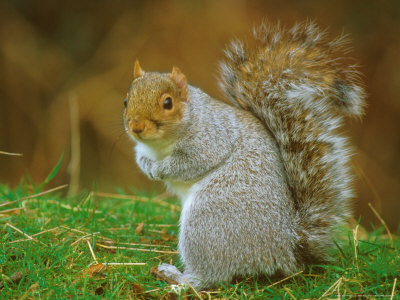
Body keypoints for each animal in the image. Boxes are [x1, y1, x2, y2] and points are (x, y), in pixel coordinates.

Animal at [122, 21, 366, 290]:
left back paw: (178, 279)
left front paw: (161, 169)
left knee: (208, 275)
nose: (136, 127)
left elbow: (189, 163)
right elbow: (140, 157)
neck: (160, 145)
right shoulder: (143, 147)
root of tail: (285, 245)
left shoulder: (212, 140)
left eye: (168, 103)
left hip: (209, 219)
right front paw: (147, 166)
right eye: (125, 101)